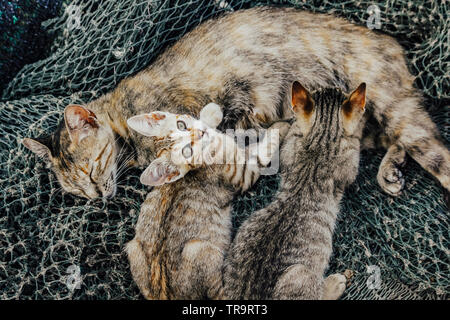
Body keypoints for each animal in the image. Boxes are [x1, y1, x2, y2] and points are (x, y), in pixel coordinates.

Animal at [22, 6, 450, 199]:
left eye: (92, 168)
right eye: (75, 190)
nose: (97, 196)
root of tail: (389, 41)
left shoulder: (224, 107)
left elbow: (237, 132)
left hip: (393, 106)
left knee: (434, 150)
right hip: (360, 120)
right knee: (388, 139)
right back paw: (390, 170)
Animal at [125, 103, 286, 300]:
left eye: (181, 125)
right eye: (187, 150)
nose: (201, 133)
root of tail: (165, 295)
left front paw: (211, 113)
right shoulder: (244, 174)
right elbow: (263, 151)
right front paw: (283, 126)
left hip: (133, 248)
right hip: (199, 249)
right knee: (224, 293)